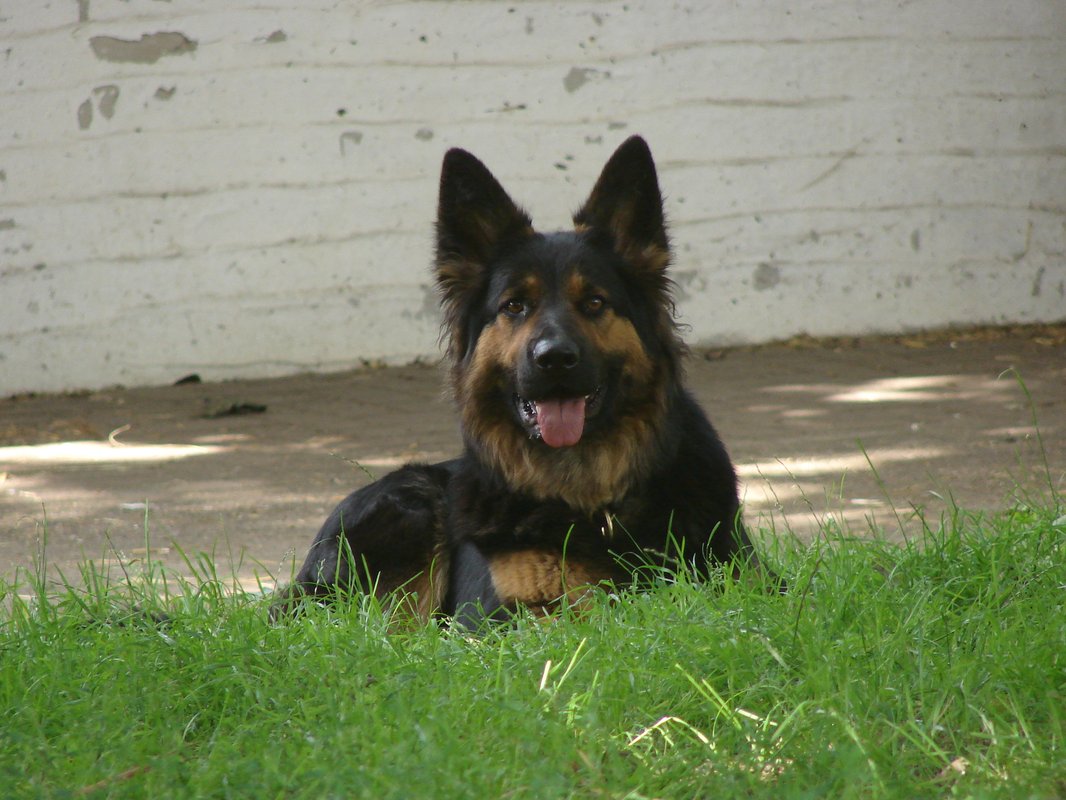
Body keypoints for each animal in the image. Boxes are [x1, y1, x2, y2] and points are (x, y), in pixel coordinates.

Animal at [272, 136, 773, 626]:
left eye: (594, 302)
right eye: (514, 306)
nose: (554, 359)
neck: (592, 499)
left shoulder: (742, 578)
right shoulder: (514, 616)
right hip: (411, 503)